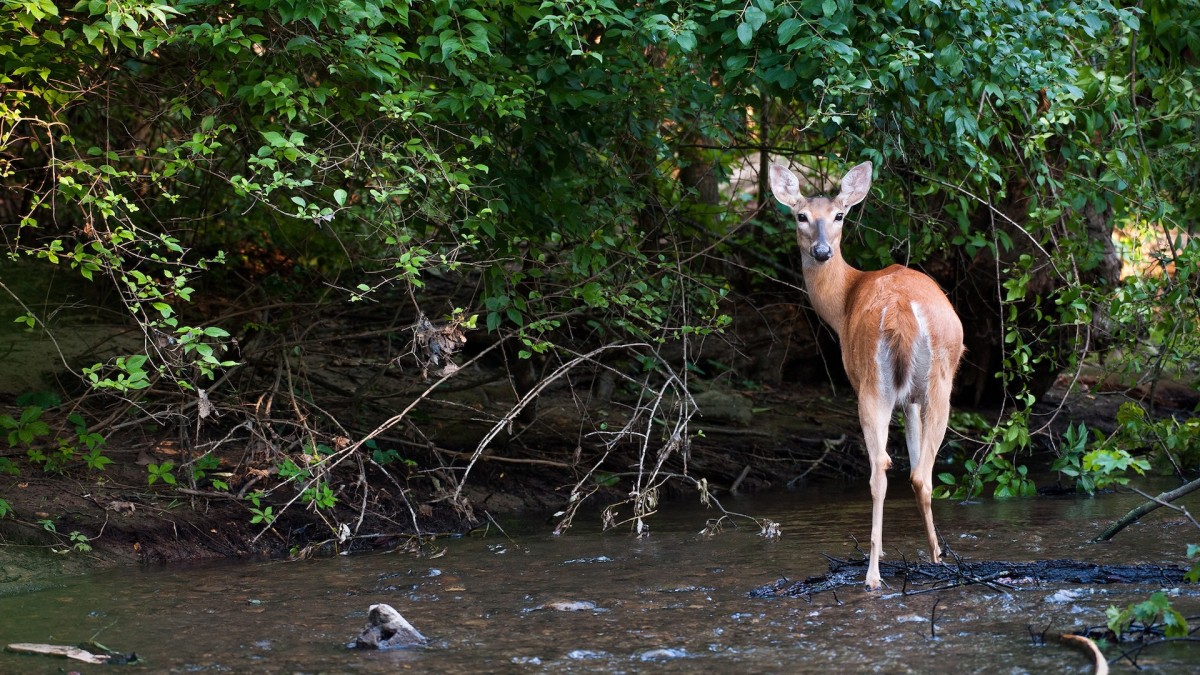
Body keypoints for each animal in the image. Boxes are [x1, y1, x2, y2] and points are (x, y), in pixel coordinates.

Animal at [768, 159, 964, 586]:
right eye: (801, 215)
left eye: (839, 215)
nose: (821, 250)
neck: (843, 301)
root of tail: (902, 310)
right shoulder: (911, 399)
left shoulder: (889, 392)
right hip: (931, 383)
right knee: (916, 473)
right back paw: (926, 560)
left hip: (873, 384)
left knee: (883, 469)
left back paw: (875, 572)